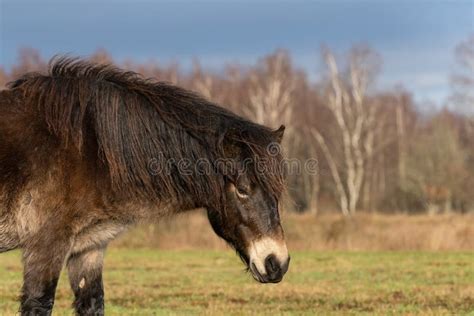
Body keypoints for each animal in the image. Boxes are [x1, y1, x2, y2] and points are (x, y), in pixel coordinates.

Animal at [0, 58, 288, 314]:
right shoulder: (46, 248)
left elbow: (93, 302)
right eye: (242, 188)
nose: (277, 263)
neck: (89, 150)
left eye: (277, 192)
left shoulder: (88, 249)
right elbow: (40, 303)